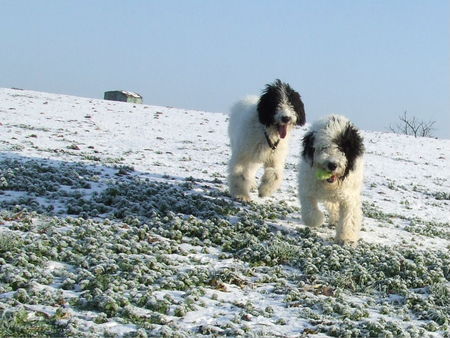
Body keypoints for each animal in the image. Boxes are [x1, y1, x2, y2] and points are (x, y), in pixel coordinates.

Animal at [298, 115, 366, 244]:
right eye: (324, 147)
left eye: (342, 148)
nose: (332, 164)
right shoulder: (307, 187)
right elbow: (310, 212)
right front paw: (318, 220)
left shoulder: (349, 197)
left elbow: (349, 217)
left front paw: (346, 238)